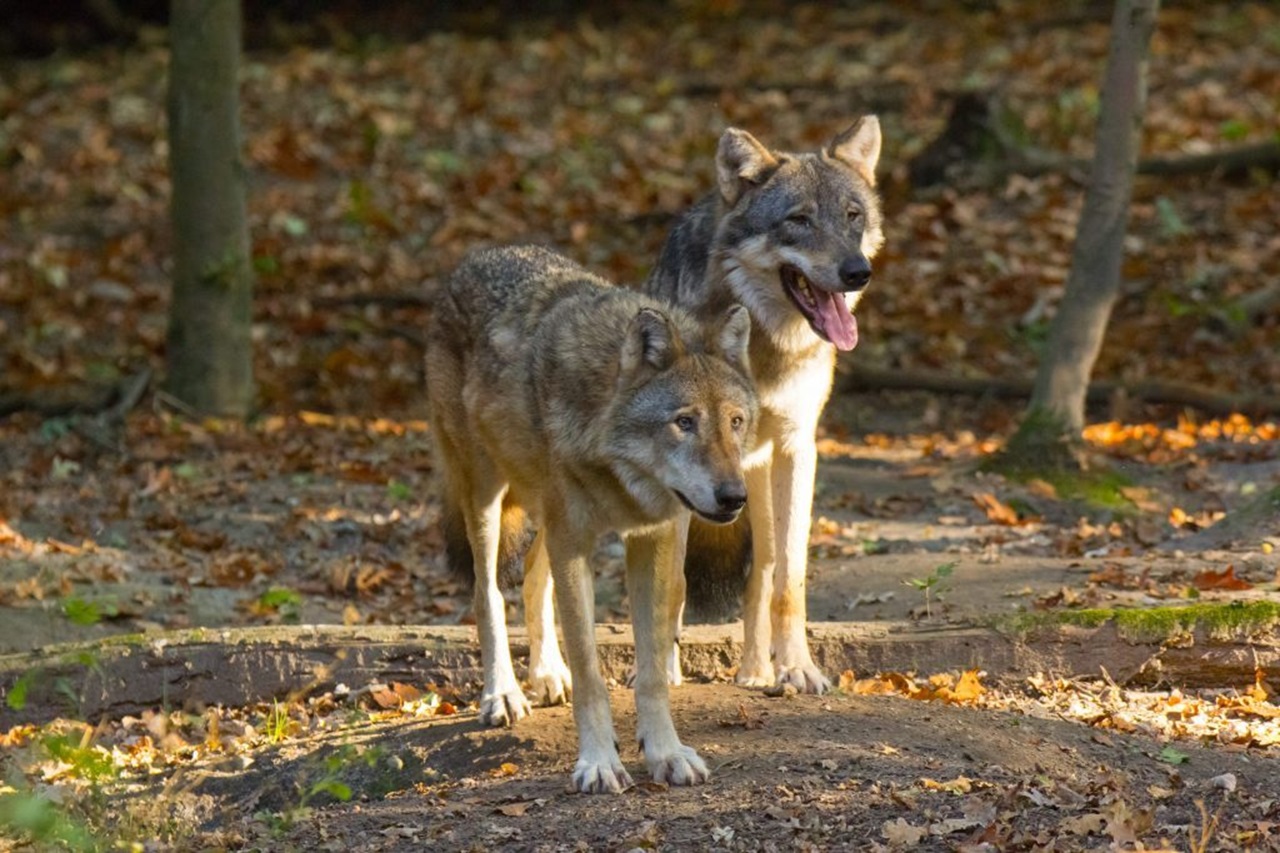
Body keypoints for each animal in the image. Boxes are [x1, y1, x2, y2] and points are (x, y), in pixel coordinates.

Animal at [424, 244, 752, 788]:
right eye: (684, 422)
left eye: (736, 423)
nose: (734, 497)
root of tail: (478, 257)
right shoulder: (574, 542)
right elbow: (591, 673)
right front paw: (598, 762)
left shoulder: (651, 540)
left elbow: (652, 671)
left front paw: (666, 753)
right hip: (486, 495)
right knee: (486, 591)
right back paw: (503, 693)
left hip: (545, 515)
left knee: (533, 578)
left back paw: (545, 676)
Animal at [645, 116, 885, 696]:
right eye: (798, 220)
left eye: (852, 216)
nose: (857, 272)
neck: (764, 346)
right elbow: (674, 579)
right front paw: (662, 670)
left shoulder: (799, 447)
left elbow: (788, 579)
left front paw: (799, 668)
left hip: (759, 474)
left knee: (765, 570)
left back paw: (757, 671)